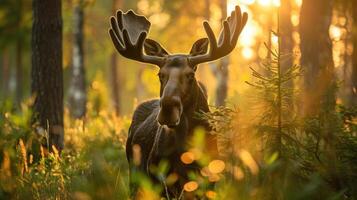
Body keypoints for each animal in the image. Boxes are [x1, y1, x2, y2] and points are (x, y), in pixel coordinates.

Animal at [108, 5, 248, 198]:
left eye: (190, 74)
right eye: (160, 75)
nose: (168, 108)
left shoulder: (209, 179)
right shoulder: (160, 180)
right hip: (134, 174)